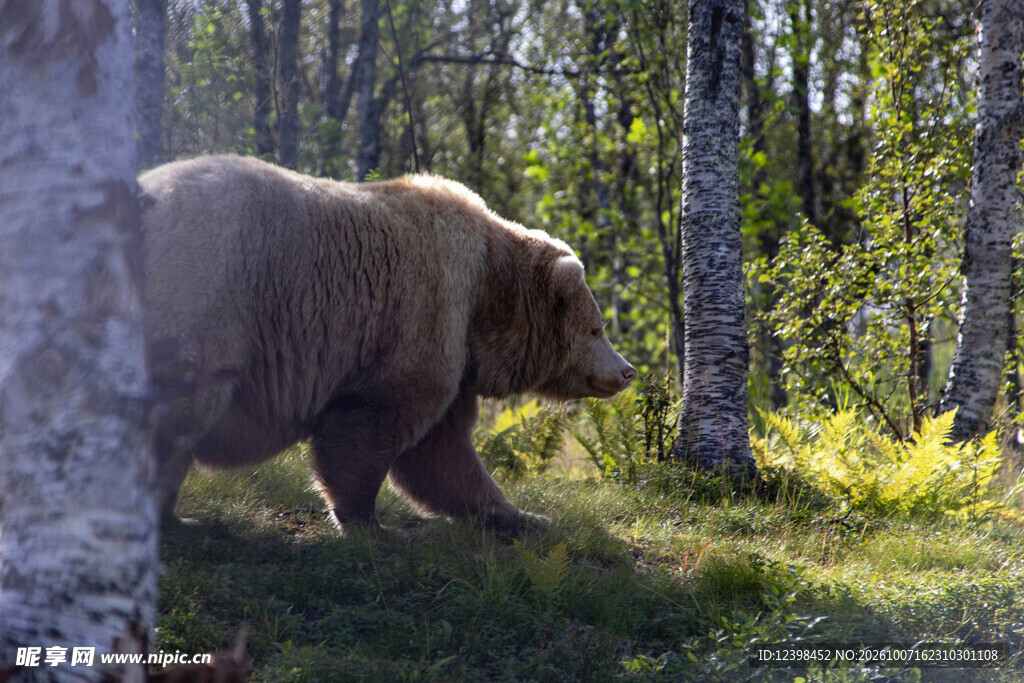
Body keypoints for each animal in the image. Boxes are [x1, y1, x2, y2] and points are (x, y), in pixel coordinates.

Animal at [140, 155, 636, 532]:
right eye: (597, 328)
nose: (626, 371)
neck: (484, 293)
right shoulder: (424, 311)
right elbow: (374, 422)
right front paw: (367, 521)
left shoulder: (457, 359)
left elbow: (444, 452)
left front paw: (524, 515)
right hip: (206, 295)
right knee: (180, 412)